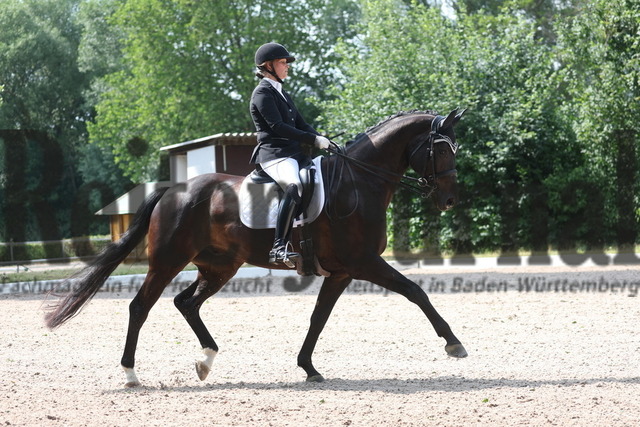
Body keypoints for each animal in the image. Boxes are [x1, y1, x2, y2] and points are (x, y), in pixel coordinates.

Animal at [43, 108, 464, 388]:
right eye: (442, 150)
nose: (448, 200)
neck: (358, 183)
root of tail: (172, 190)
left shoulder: (342, 271)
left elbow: (318, 318)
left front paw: (308, 367)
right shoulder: (363, 262)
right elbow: (416, 292)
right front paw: (454, 344)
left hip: (219, 266)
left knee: (186, 303)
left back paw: (206, 361)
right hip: (168, 262)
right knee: (140, 307)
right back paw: (131, 373)